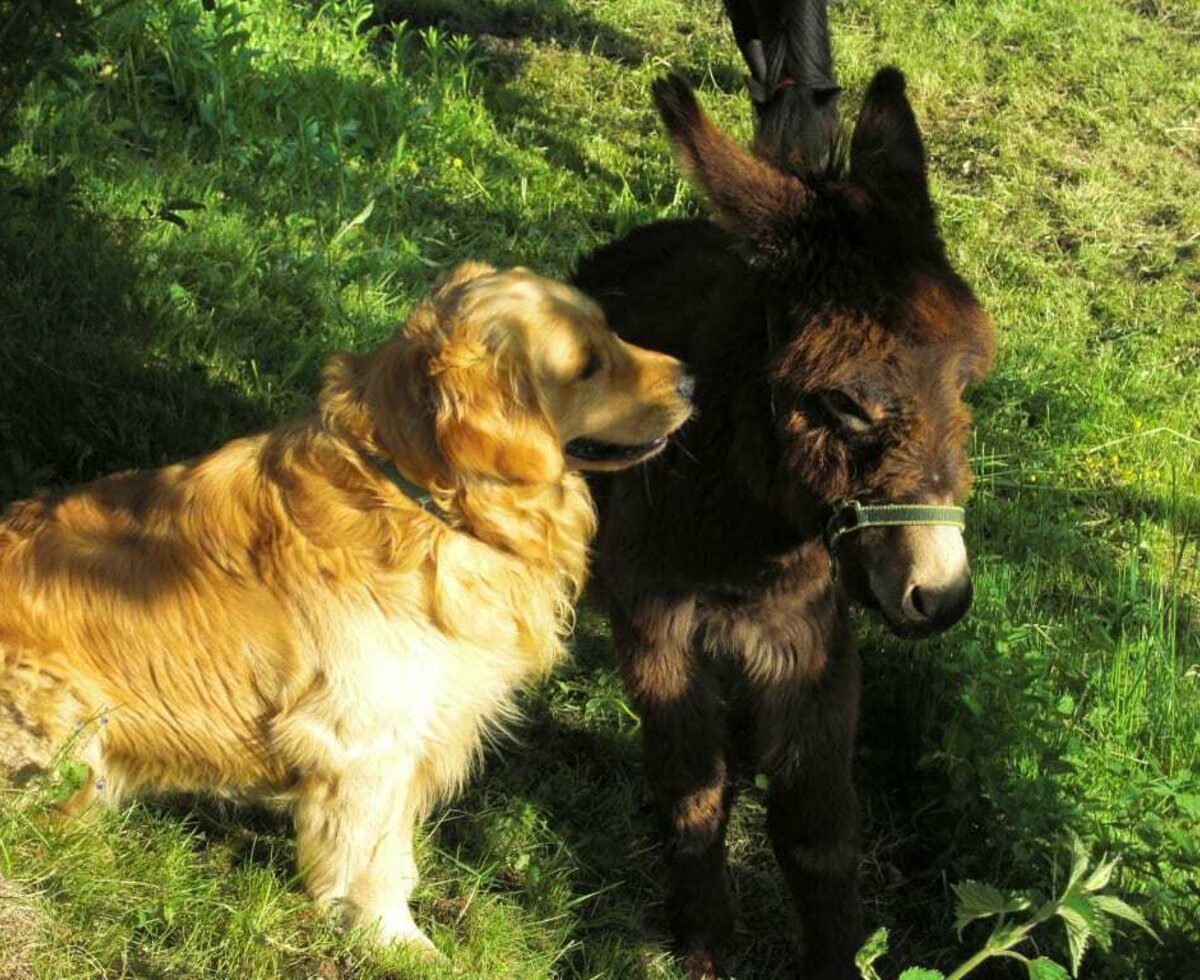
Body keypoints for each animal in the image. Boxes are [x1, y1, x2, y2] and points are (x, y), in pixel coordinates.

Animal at [0, 260, 696, 950]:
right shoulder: (366, 741)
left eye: (611, 331)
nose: (692, 380)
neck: (421, 498)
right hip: (61, 715)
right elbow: (373, 859)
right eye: (588, 366)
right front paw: (395, 939)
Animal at [571, 3, 993, 974]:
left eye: (968, 382)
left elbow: (818, 827)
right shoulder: (655, 624)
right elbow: (689, 787)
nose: (942, 596)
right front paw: (702, 938)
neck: (745, 536)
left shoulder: (812, 639)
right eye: (843, 402)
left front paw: (834, 955)